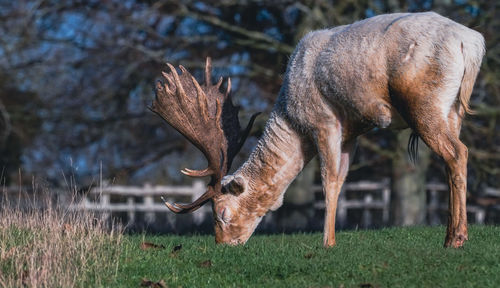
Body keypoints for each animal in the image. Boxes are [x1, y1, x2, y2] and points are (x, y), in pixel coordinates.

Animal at [152, 11, 484, 248]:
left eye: (221, 213)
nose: (223, 244)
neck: (292, 120)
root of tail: (471, 44)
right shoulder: (352, 131)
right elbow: (344, 176)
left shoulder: (324, 120)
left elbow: (329, 180)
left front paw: (328, 242)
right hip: (453, 109)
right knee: (453, 158)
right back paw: (452, 235)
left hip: (424, 102)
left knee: (458, 152)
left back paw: (456, 239)